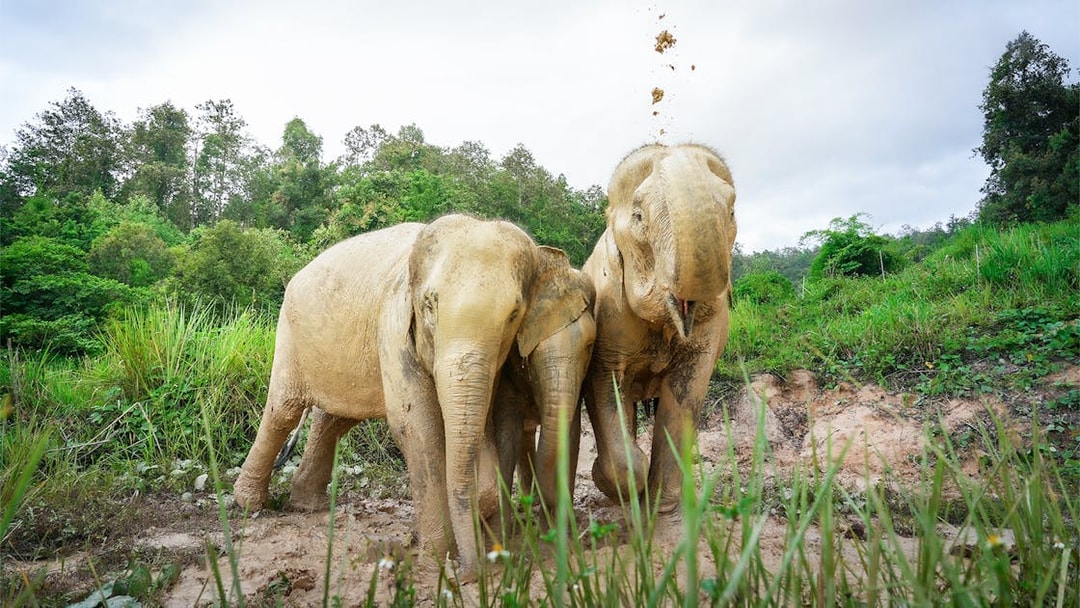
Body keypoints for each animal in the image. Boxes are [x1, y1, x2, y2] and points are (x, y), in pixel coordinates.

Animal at [232, 214, 590, 581]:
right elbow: (418, 425)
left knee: (334, 419)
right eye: (430, 304)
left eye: (514, 315)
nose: (467, 574)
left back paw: (306, 504)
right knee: (284, 410)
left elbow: (482, 423)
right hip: (290, 334)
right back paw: (249, 503)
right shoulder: (394, 323)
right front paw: (439, 554)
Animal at [581, 143, 737, 514]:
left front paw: (662, 508)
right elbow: (605, 383)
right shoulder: (609, 311)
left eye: (731, 212)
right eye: (638, 217)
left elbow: (685, 393)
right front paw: (625, 483)